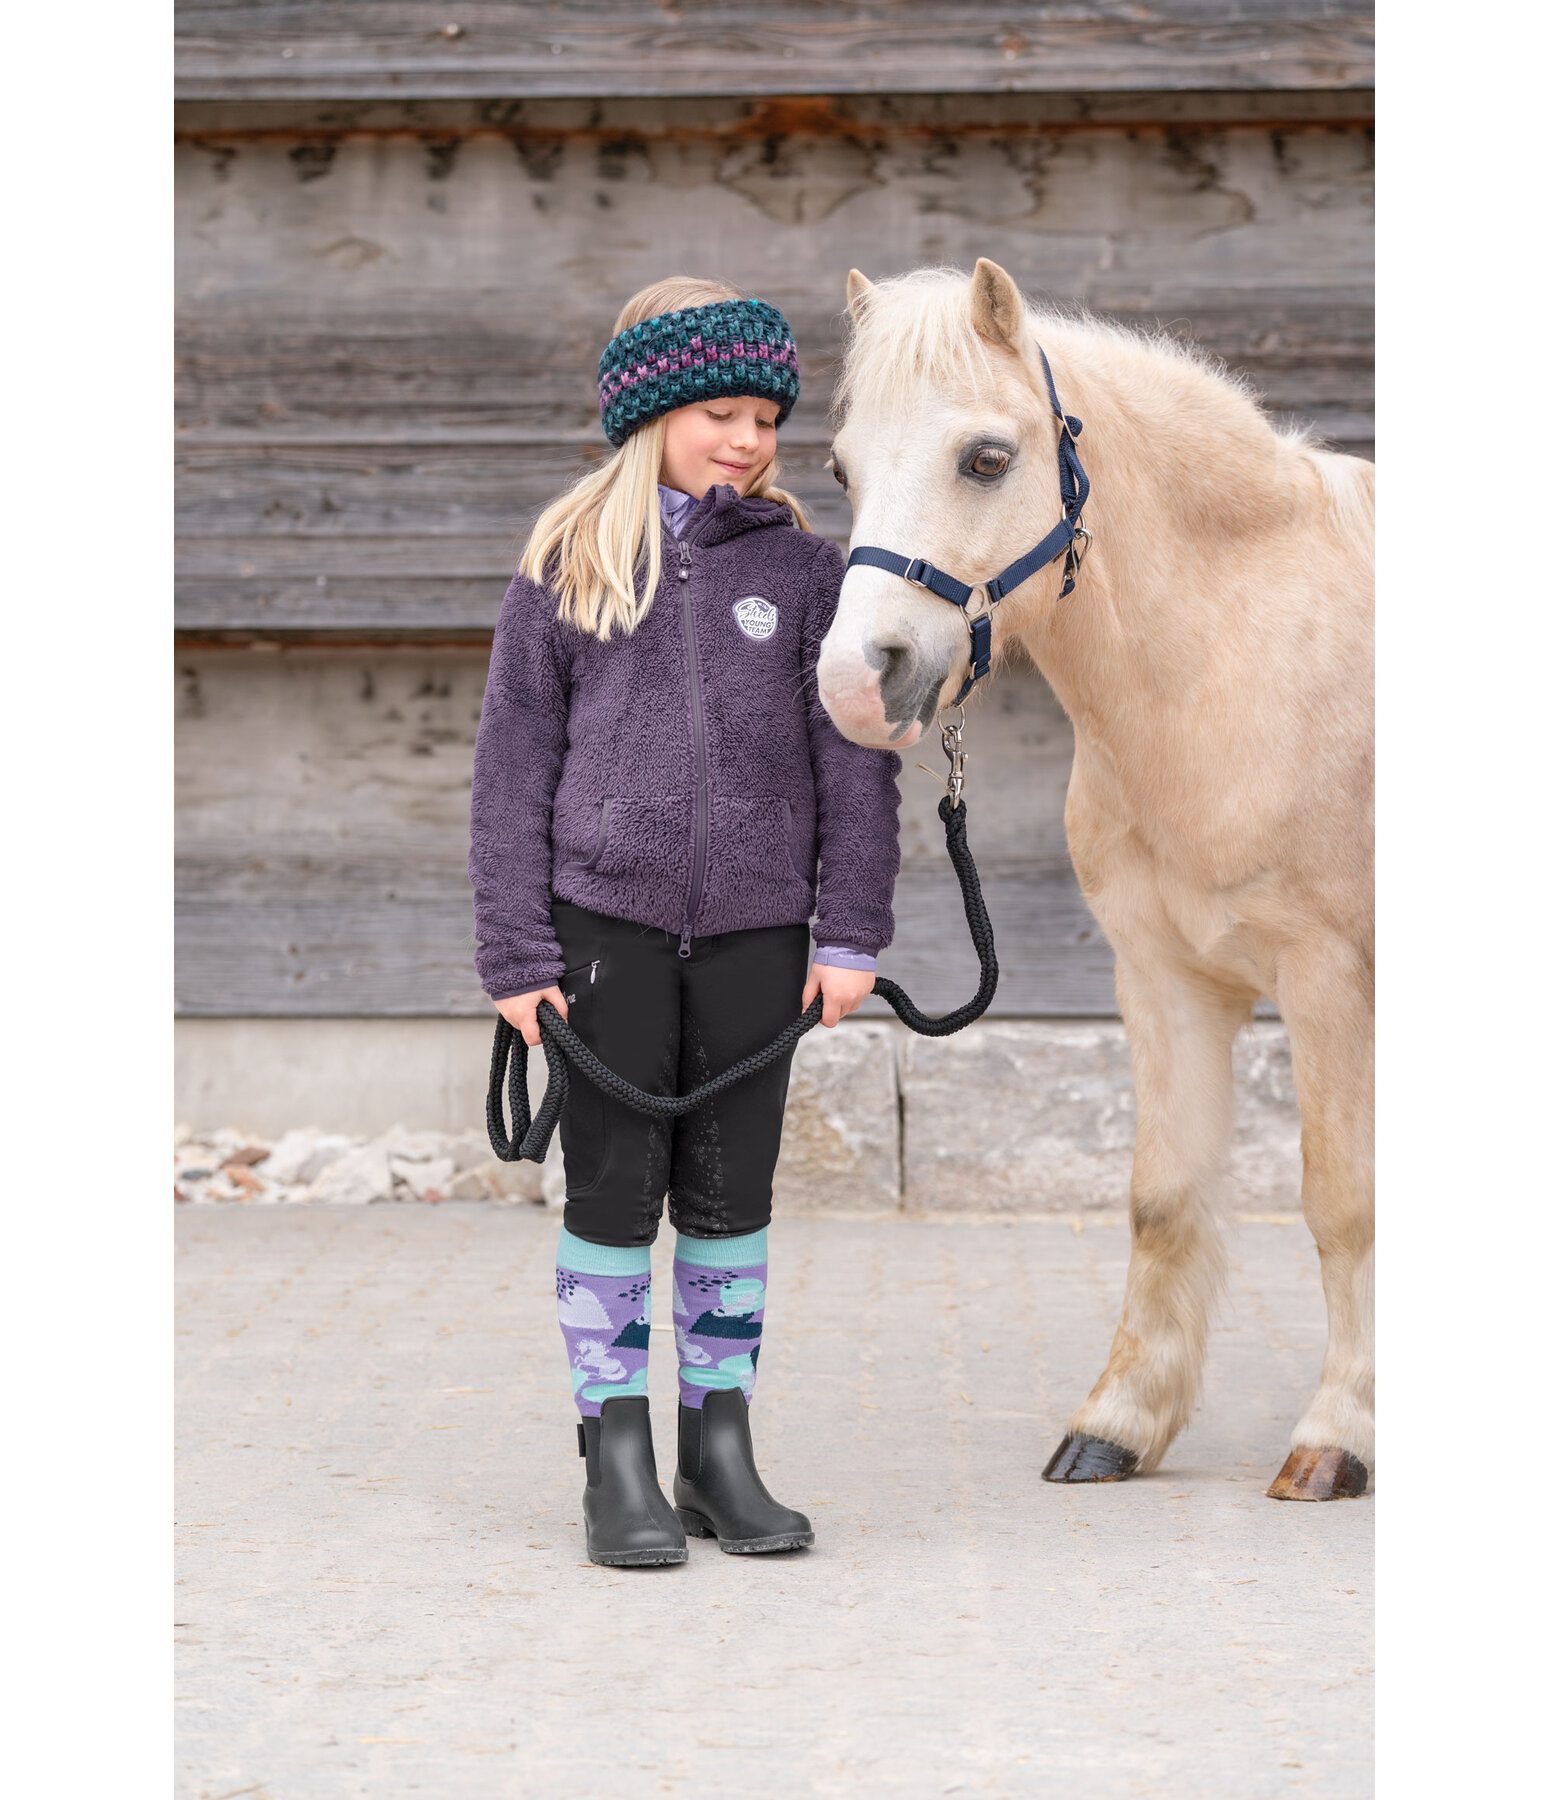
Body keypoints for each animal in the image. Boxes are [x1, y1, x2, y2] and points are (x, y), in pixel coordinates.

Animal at [817, 261, 1375, 1497]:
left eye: (986, 458)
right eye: (840, 467)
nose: (853, 681)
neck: (1240, 664)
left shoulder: (1329, 983)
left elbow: (1342, 1204)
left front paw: (1337, 1439)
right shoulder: (1162, 977)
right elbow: (1162, 1201)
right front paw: (1118, 1423)